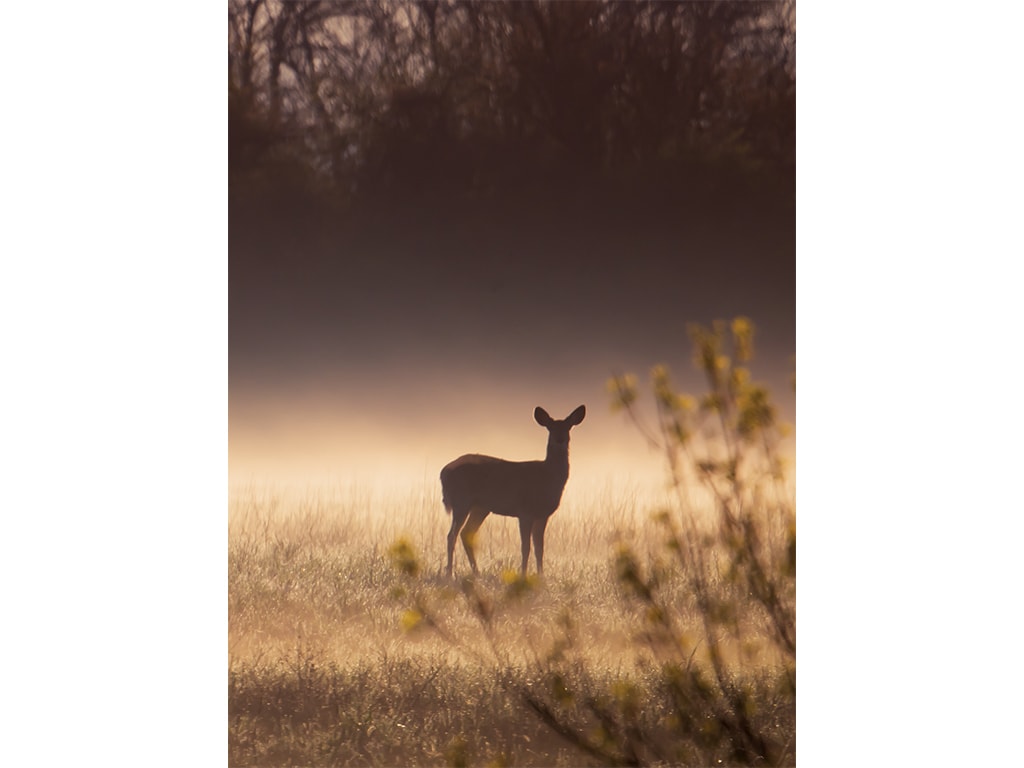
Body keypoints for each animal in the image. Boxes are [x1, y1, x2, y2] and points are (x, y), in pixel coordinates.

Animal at [438, 409, 585, 577]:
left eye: (568, 427)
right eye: (551, 428)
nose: (559, 439)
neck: (547, 476)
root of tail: (444, 472)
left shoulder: (543, 515)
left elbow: (540, 548)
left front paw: (541, 576)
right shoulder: (525, 511)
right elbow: (525, 547)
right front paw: (523, 575)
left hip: (480, 507)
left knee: (466, 533)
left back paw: (476, 572)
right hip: (461, 501)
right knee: (451, 535)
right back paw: (449, 573)